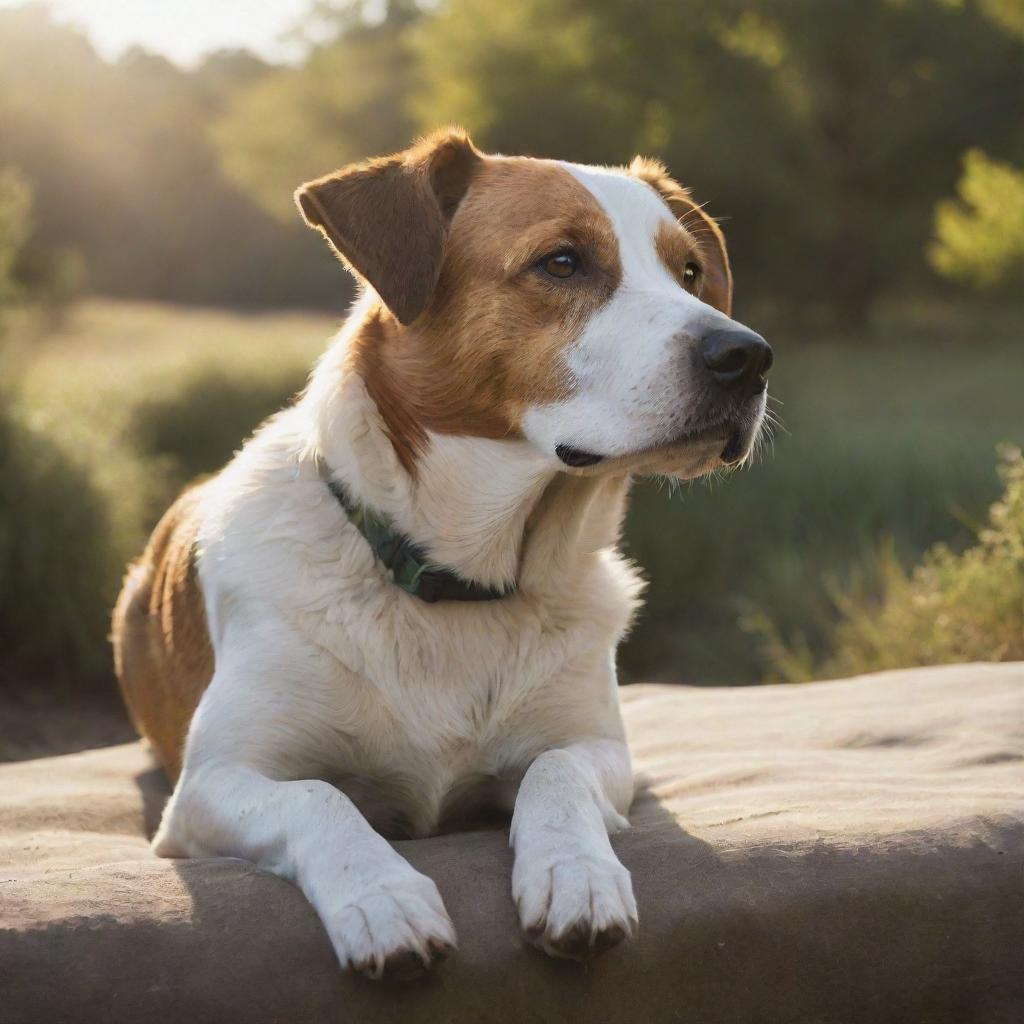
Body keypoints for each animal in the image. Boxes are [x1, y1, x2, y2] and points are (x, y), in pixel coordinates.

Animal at [110, 128, 770, 983]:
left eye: (690, 272)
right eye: (563, 262)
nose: (748, 357)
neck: (460, 582)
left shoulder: (601, 749)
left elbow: (555, 773)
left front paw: (576, 875)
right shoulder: (212, 788)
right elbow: (321, 798)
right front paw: (382, 900)